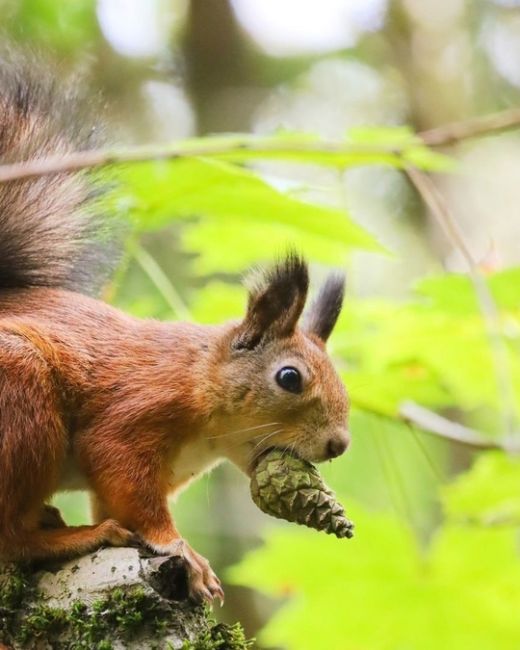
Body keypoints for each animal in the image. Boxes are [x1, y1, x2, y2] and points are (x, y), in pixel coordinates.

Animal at [0, 54, 352, 604]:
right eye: (290, 377)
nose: (339, 445)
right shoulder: (135, 414)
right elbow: (128, 485)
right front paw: (182, 550)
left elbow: (116, 499)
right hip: (21, 397)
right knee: (8, 537)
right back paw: (72, 537)